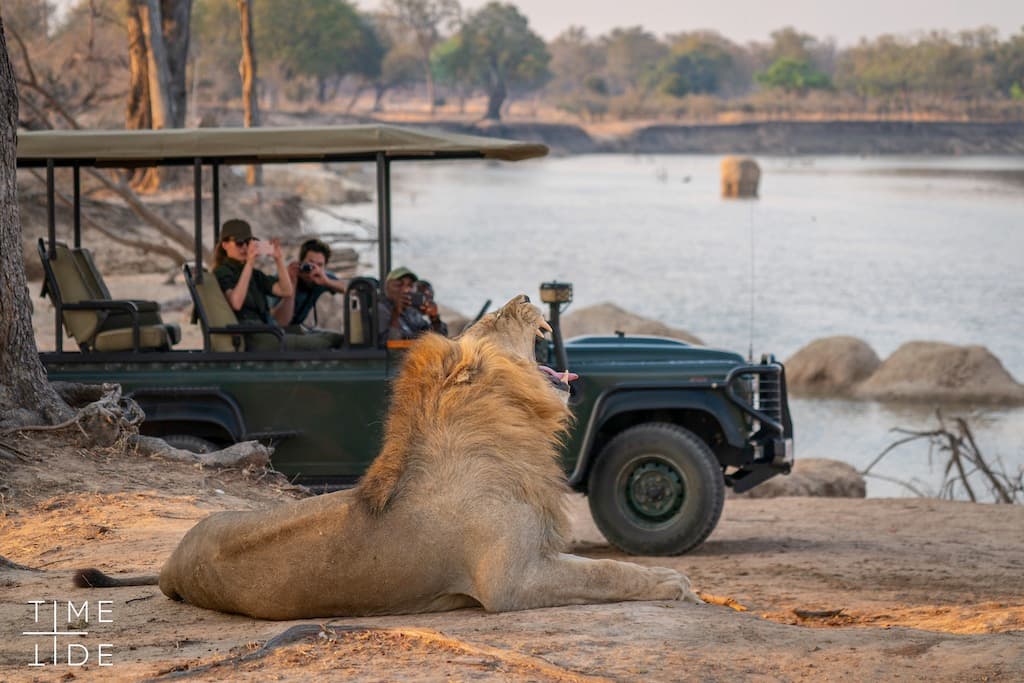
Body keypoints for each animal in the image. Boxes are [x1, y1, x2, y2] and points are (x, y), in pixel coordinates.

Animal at [70, 294, 696, 618]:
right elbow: (608, 573)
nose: (525, 298)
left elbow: (604, 568)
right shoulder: (510, 583)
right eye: (495, 319)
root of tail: (169, 565)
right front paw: (676, 584)